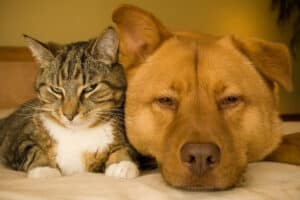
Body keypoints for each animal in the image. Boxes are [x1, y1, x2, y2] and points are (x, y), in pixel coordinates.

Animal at [0, 27, 139, 179]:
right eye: (56, 90)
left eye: (90, 88)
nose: (69, 115)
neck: (76, 134)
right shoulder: (17, 141)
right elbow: (32, 149)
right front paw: (44, 168)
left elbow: (124, 148)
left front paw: (122, 164)